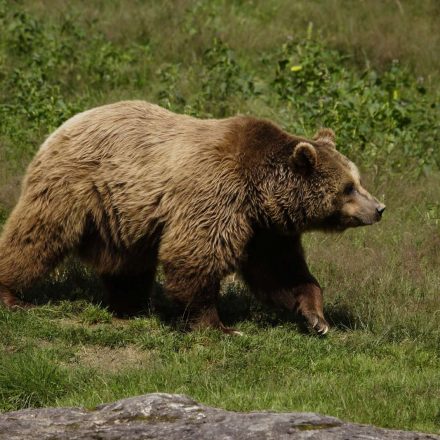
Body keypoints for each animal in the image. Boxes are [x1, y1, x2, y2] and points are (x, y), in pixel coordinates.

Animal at [0, 100, 384, 334]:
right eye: (349, 188)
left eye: (357, 179)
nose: (379, 208)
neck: (259, 191)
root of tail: (65, 124)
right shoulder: (218, 195)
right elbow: (196, 256)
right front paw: (220, 325)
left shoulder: (265, 228)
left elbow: (281, 271)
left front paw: (316, 317)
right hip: (74, 187)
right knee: (36, 236)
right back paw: (13, 296)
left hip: (123, 213)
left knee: (128, 262)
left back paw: (130, 305)